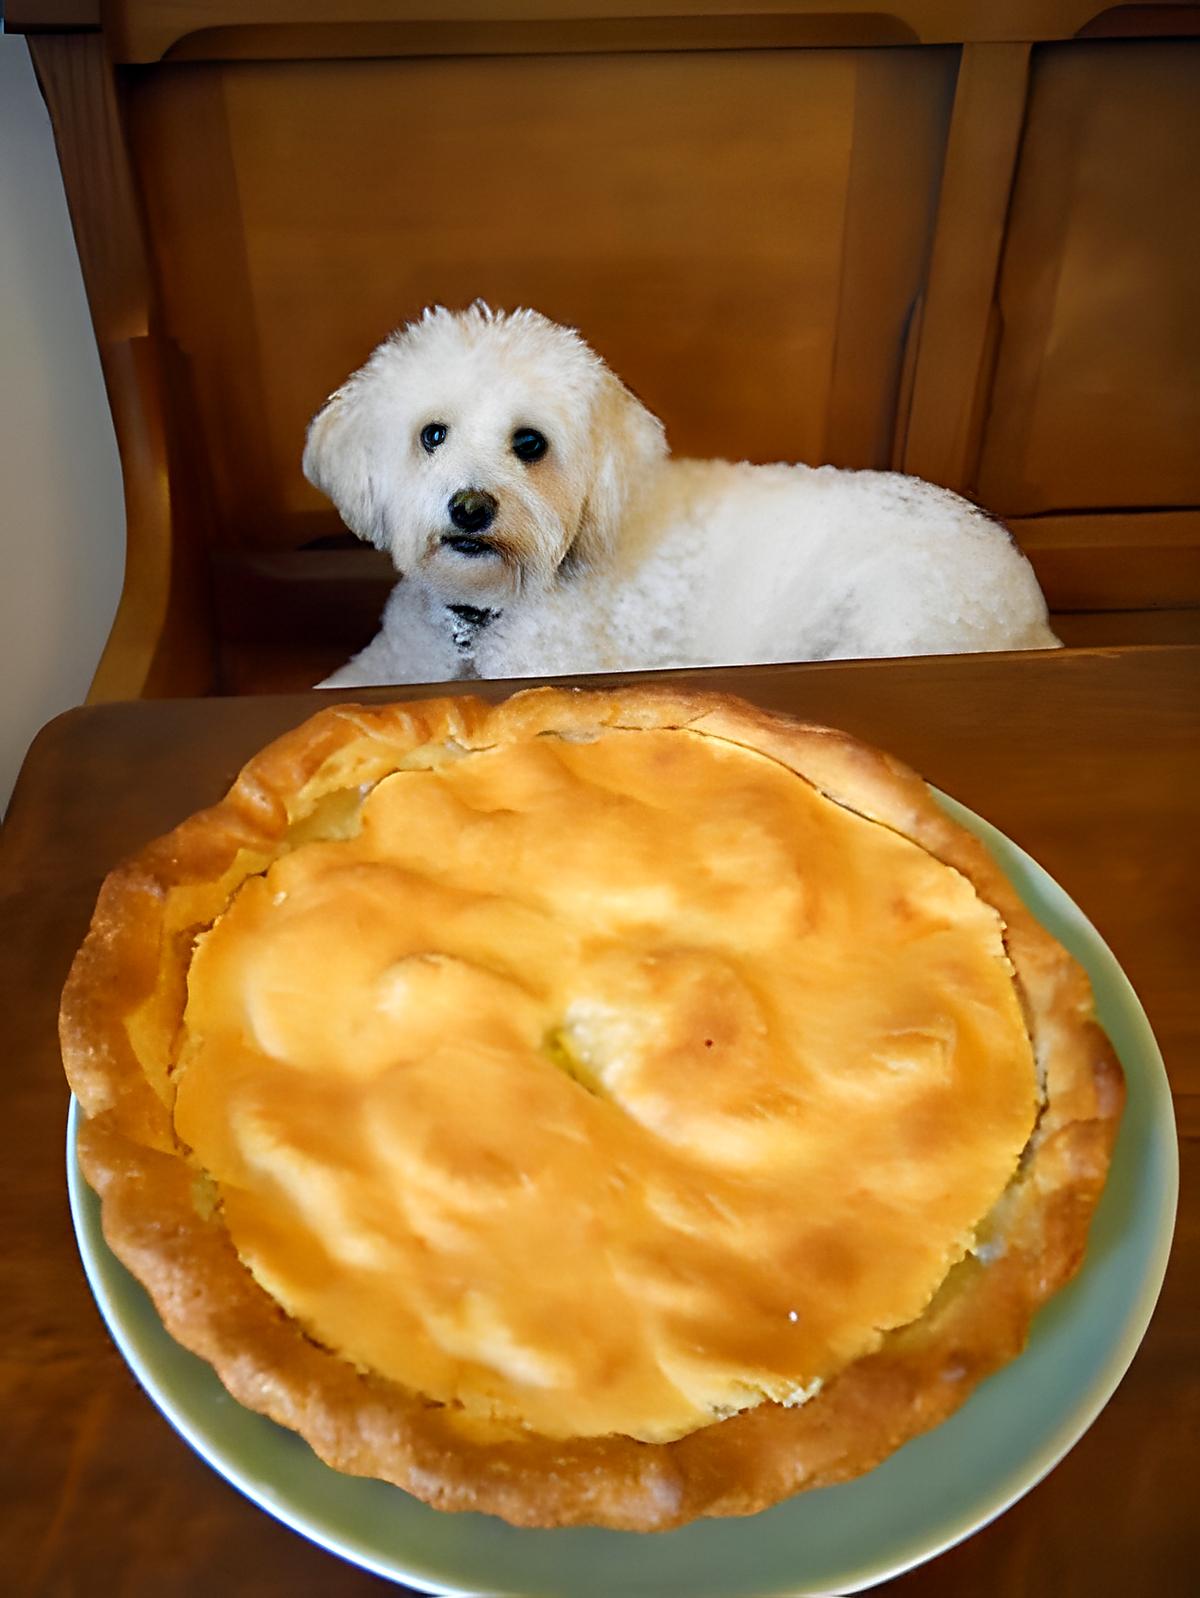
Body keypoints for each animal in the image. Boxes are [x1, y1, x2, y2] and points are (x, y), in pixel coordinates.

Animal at [301, 305, 1060, 687]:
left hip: (891, 628)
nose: (471, 507)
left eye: (530, 443)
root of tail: (1030, 607)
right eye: (431, 434)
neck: (479, 619)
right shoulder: (393, 659)